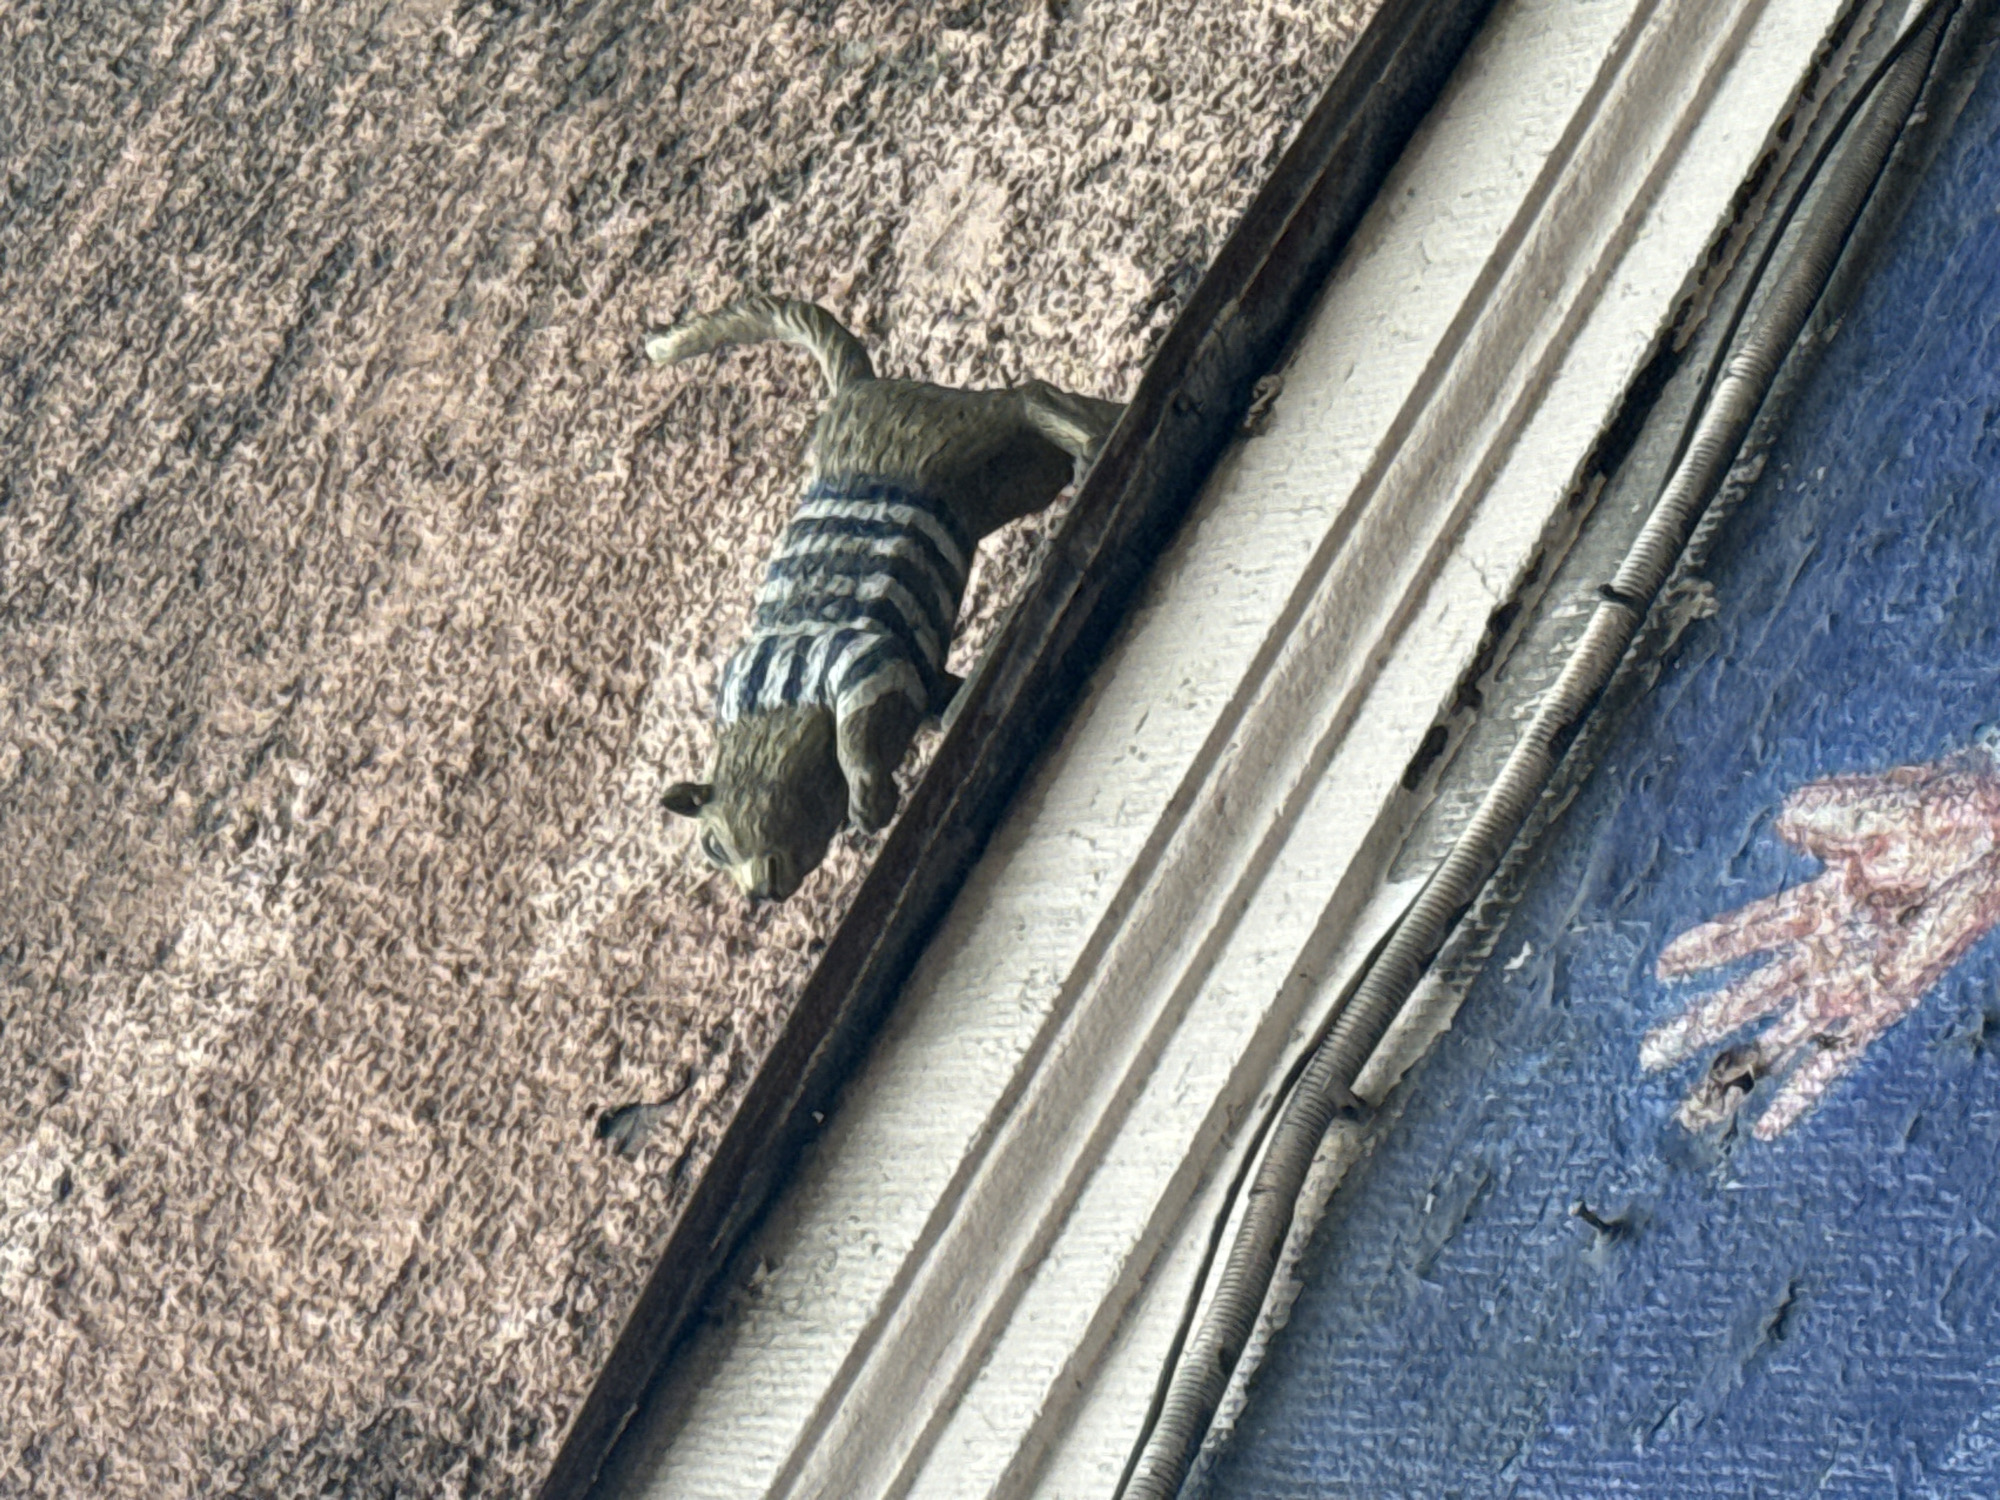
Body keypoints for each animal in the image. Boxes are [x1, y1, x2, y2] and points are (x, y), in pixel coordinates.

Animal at [650, 296, 1124, 902]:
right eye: (713, 851)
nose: (757, 893)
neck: (770, 710)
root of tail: (854, 389)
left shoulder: (859, 663)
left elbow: (856, 731)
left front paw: (869, 800)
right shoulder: (910, 675)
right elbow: (934, 696)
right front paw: (954, 706)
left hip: (957, 440)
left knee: (1025, 397)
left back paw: (1090, 440)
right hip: (1008, 479)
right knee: (1035, 426)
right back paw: (1101, 429)